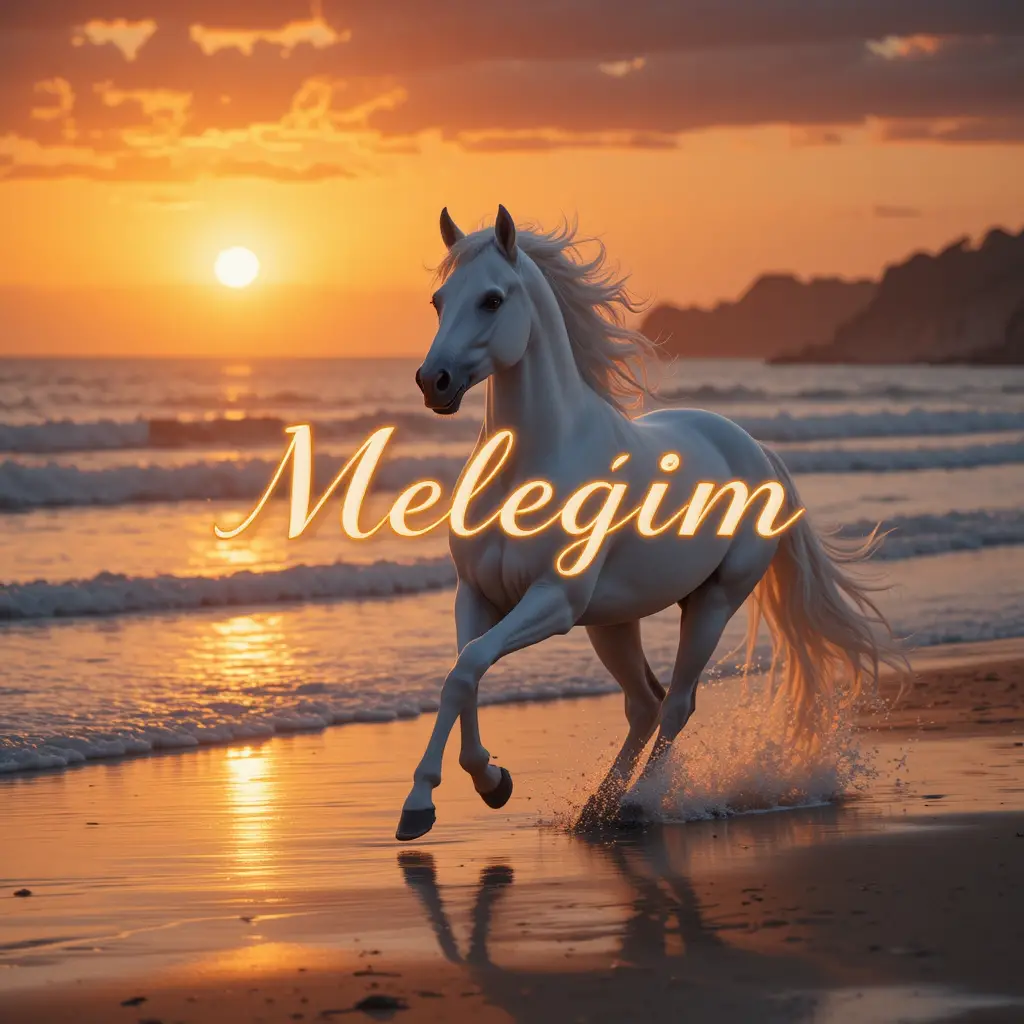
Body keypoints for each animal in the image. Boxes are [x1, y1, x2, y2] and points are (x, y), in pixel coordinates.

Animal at [396, 205, 904, 842]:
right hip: (613, 621)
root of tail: (757, 450)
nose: (431, 381)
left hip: (712, 602)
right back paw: (599, 809)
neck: (533, 461)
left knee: (678, 703)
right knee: (645, 704)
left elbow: (467, 670)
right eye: (439, 300)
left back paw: (637, 804)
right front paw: (486, 784)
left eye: (492, 299)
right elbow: (463, 674)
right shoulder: (477, 594)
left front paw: (427, 802)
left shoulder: (554, 601)